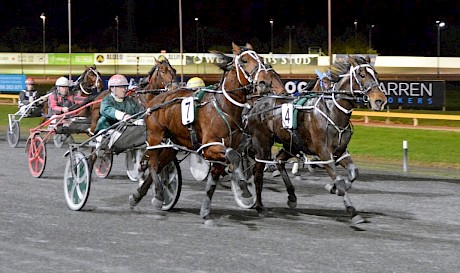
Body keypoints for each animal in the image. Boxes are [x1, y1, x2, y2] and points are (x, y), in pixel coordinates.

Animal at [129, 42, 286, 223]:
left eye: (261, 59)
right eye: (245, 60)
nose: (264, 83)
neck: (224, 107)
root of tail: (154, 101)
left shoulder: (226, 150)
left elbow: (214, 181)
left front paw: (206, 210)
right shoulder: (210, 147)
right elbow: (234, 157)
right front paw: (244, 187)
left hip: (172, 144)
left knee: (160, 164)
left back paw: (137, 196)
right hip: (156, 136)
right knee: (153, 164)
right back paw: (158, 195)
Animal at [246, 54, 386, 223]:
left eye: (376, 74)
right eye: (362, 75)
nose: (380, 100)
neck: (332, 111)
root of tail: (258, 103)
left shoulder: (340, 152)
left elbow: (353, 173)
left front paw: (333, 188)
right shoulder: (324, 153)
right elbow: (339, 181)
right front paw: (352, 211)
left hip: (291, 144)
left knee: (279, 160)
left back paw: (291, 196)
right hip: (263, 143)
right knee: (258, 173)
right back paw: (259, 206)